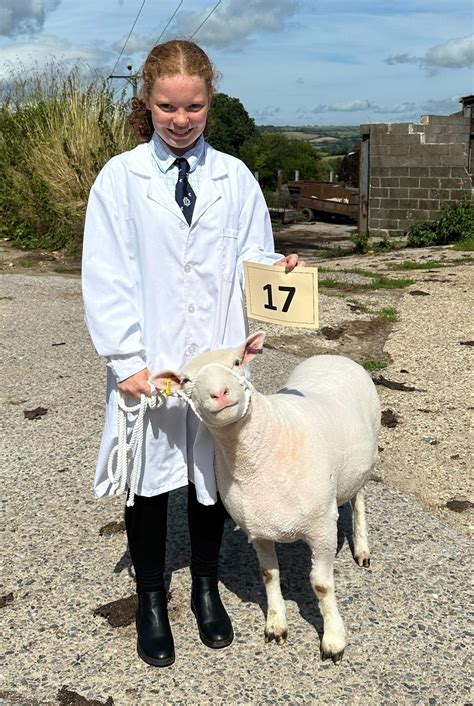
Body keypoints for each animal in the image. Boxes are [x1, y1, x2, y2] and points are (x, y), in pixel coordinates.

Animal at [151, 330, 381, 663]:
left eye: (236, 362)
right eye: (185, 380)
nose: (219, 393)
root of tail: (333, 356)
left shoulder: (322, 528)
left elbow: (322, 586)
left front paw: (334, 640)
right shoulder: (258, 530)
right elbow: (268, 575)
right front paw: (276, 625)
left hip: (365, 463)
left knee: (359, 501)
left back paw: (362, 549)